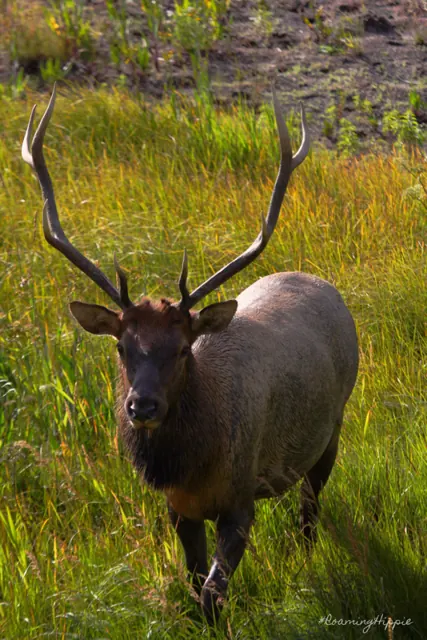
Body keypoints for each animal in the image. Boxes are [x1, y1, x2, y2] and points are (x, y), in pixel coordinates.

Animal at [22, 85, 358, 624]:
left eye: (182, 349)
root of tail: (319, 282)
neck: (194, 465)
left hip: (335, 425)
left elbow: (212, 595)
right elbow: (194, 583)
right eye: (121, 345)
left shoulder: (240, 499)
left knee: (310, 512)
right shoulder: (177, 508)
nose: (142, 405)